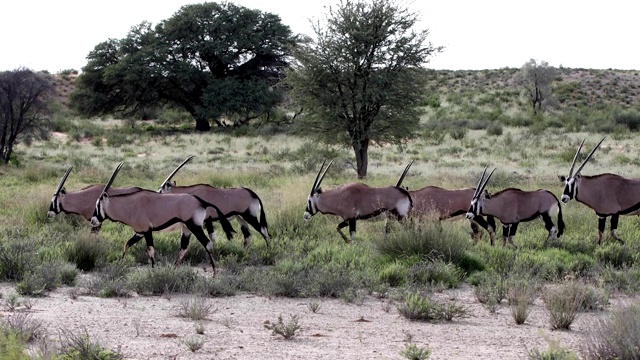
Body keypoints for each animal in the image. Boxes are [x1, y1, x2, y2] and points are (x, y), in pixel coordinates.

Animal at [91, 162, 236, 274]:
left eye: (97, 205)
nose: (93, 221)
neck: (131, 205)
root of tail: (202, 202)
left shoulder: (147, 231)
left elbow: (150, 250)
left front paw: (153, 271)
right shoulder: (139, 232)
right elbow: (127, 244)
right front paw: (121, 263)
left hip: (195, 226)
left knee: (207, 244)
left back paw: (215, 274)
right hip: (186, 229)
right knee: (184, 248)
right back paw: (174, 270)